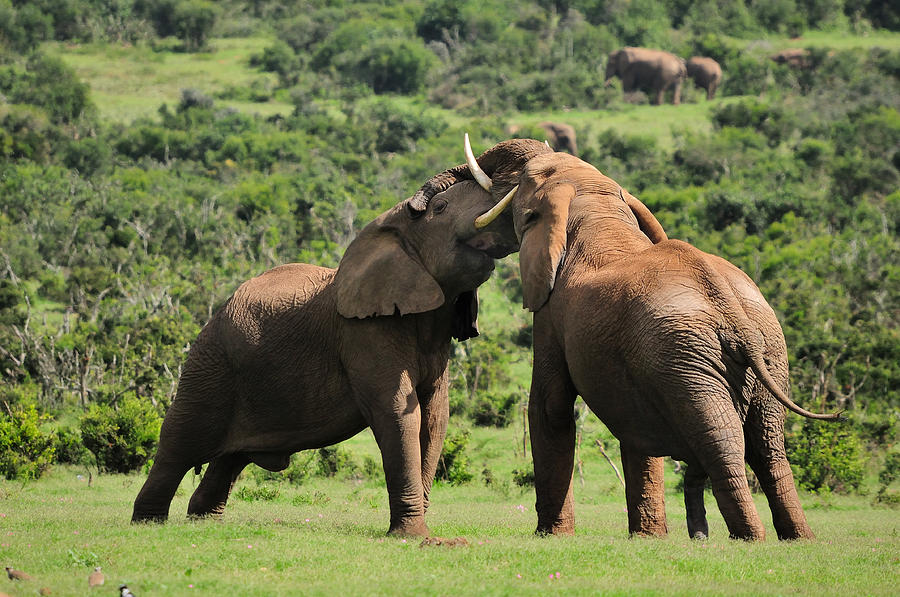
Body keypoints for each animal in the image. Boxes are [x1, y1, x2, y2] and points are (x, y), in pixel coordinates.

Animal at [127, 140, 524, 536]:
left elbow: (435, 415)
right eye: (441, 208)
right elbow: (396, 411)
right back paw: (148, 522)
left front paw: (419, 532)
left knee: (229, 458)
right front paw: (416, 538)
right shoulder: (363, 331)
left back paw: (204, 520)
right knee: (178, 445)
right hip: (210, 362)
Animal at [464, 135, 844, 540]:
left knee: (723, 446)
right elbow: (635, 427)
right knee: (769, 447)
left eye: (529, 178)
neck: (596, 209)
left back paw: (748, 539)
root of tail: (733, 313)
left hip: (687, 362)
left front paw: (552, 536)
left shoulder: (551, 314)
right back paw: (793, 538)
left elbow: (550, 407)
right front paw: (648, 538)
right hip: (763, 352)